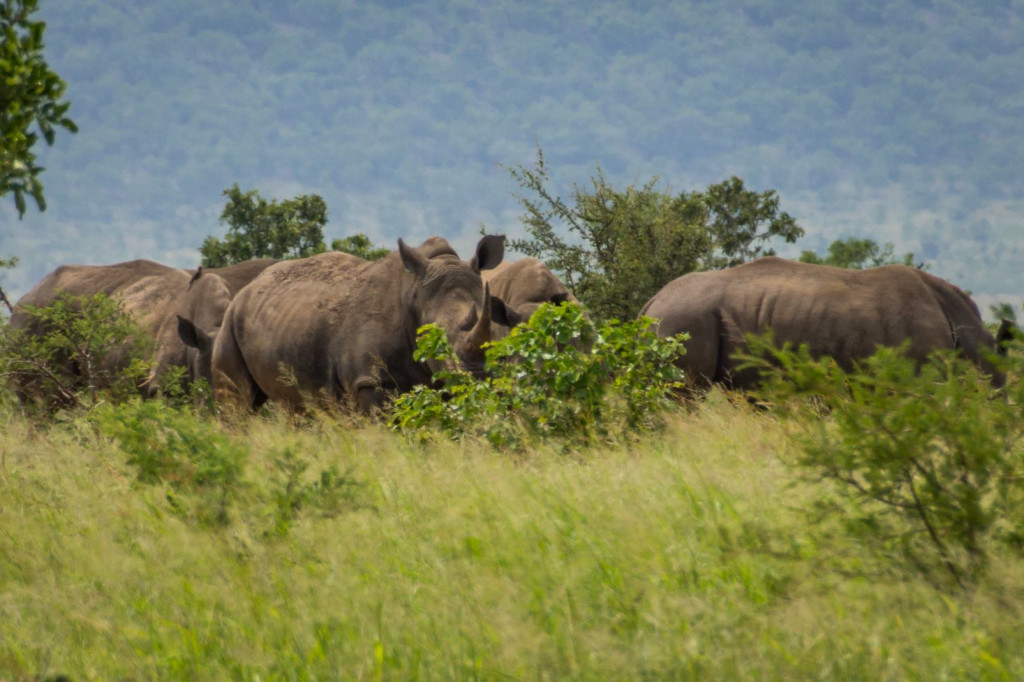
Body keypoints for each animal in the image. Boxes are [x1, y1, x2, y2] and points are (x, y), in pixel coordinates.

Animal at [209, 235, 509, 411]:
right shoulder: (369, 381)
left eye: (495, 333)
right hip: (231, 321)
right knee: (238, 402)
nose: (479, 377)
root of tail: (250, 287)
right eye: (436, 340)